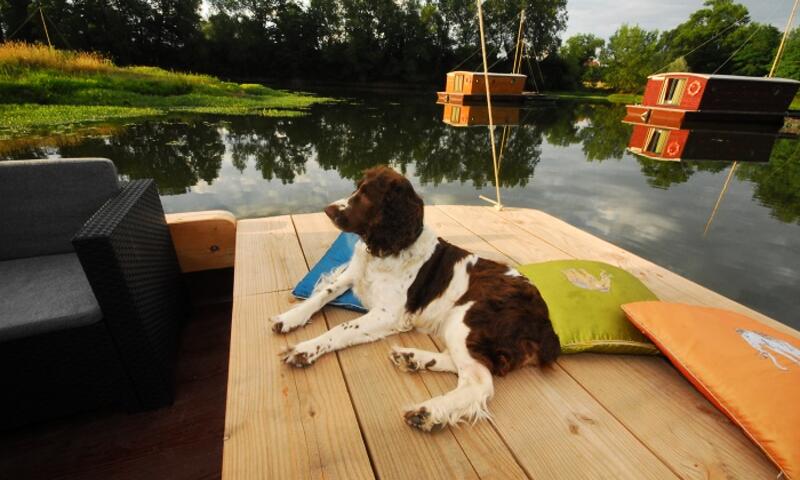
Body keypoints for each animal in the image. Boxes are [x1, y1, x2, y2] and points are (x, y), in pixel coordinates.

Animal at [268, 166, 556, 432]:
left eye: (367, 195)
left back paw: (428, 412)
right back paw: (413, 358)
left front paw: (305, 349)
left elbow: (341, 328)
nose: (328, 210)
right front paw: (290, 318)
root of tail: (546, 322)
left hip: (465, 317)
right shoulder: (352, 274)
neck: (386, 249)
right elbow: (321, 295)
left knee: (478, 380)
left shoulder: (388, 313)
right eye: (356, 187)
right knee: (465, 364)